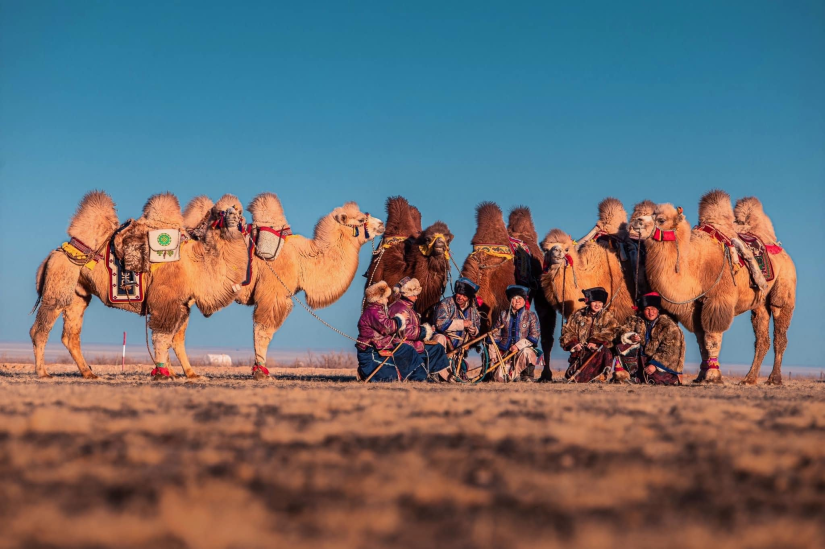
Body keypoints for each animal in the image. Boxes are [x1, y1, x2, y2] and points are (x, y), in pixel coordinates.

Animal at [30, 192, 249, 376]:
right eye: (221, 211)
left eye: (239, 211)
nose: (233, 216)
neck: (195, 264)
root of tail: (54, 253)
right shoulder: (166, 300)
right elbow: (162, 337)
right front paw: (163, 374)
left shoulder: (183, 305)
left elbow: (176, 341)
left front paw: (189, 375)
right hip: (59, 282)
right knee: (41, 327)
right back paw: (43, 373)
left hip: (79, 294)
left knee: (70, 335)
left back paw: (89, 373)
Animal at [628, 191, 796, 384]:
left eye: (661, 219)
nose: (636, 222)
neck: (695, 266)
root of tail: (779, 248)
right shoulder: (695, 307)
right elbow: (701, 341)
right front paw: (701, 375)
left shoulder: (717, 301)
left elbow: (712, 339)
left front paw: (713, 376)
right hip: (760, 302)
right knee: (762, 338)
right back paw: (749, 379)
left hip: (783, 289)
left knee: (779, 334)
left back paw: (774, 378)